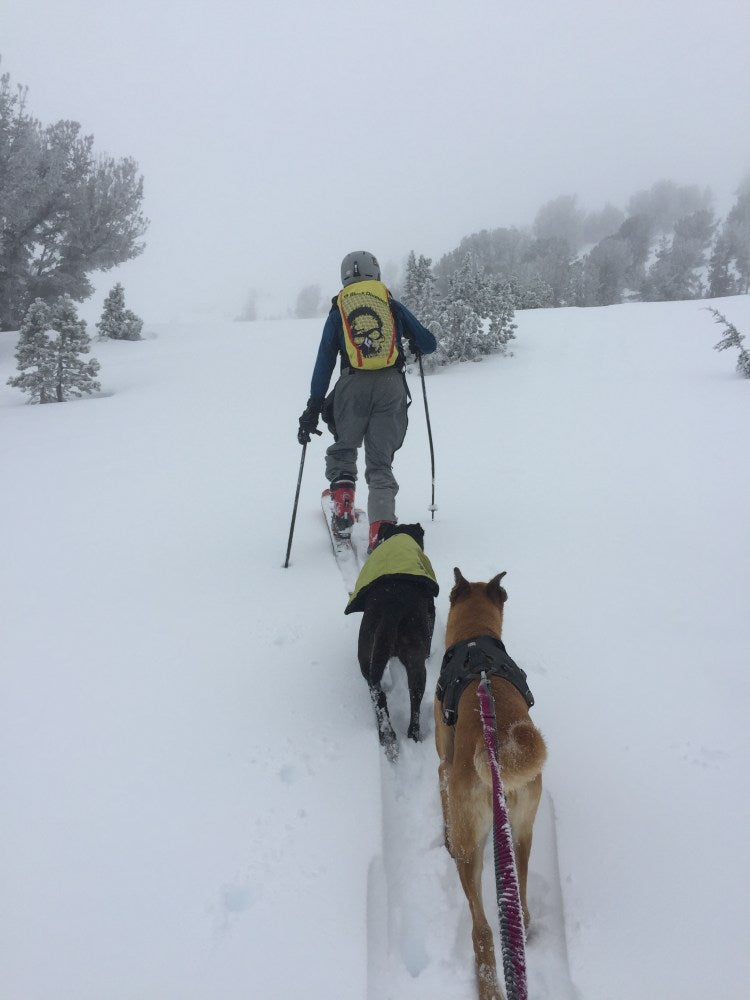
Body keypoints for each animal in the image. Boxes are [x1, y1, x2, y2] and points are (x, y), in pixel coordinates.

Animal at [344, 524, 438, 756]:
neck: (399, 537)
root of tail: (392, 608)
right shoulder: (431, 612)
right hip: (415, 659)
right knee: (415, 701)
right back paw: (413, 735)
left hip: (367, 654)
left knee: (378, 694)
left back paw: (387, 736)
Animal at [434, 572, 548, 1000]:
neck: (475, 641)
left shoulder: (443, 765)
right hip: (522, 831)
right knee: (523, 911)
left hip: (473, 848)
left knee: (481, 930)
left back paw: (487, 985)